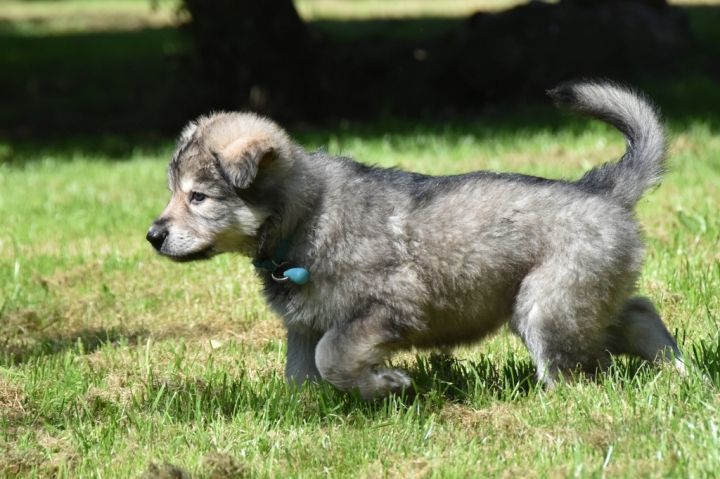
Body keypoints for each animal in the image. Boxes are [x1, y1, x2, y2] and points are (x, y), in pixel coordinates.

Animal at [147, 81, 682, 399]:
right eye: (172, 193)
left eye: (197, 197)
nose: (153, 235)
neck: (304, 216)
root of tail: (601, 188)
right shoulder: (305, 324)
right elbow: (302, 374)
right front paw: (310, 410)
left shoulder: (384, 309)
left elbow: (332, 356)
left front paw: (385, 383)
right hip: (584, 295)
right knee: (637, 312)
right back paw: (675, 368)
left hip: (546, 304)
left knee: (576, 360)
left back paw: (555, 400)